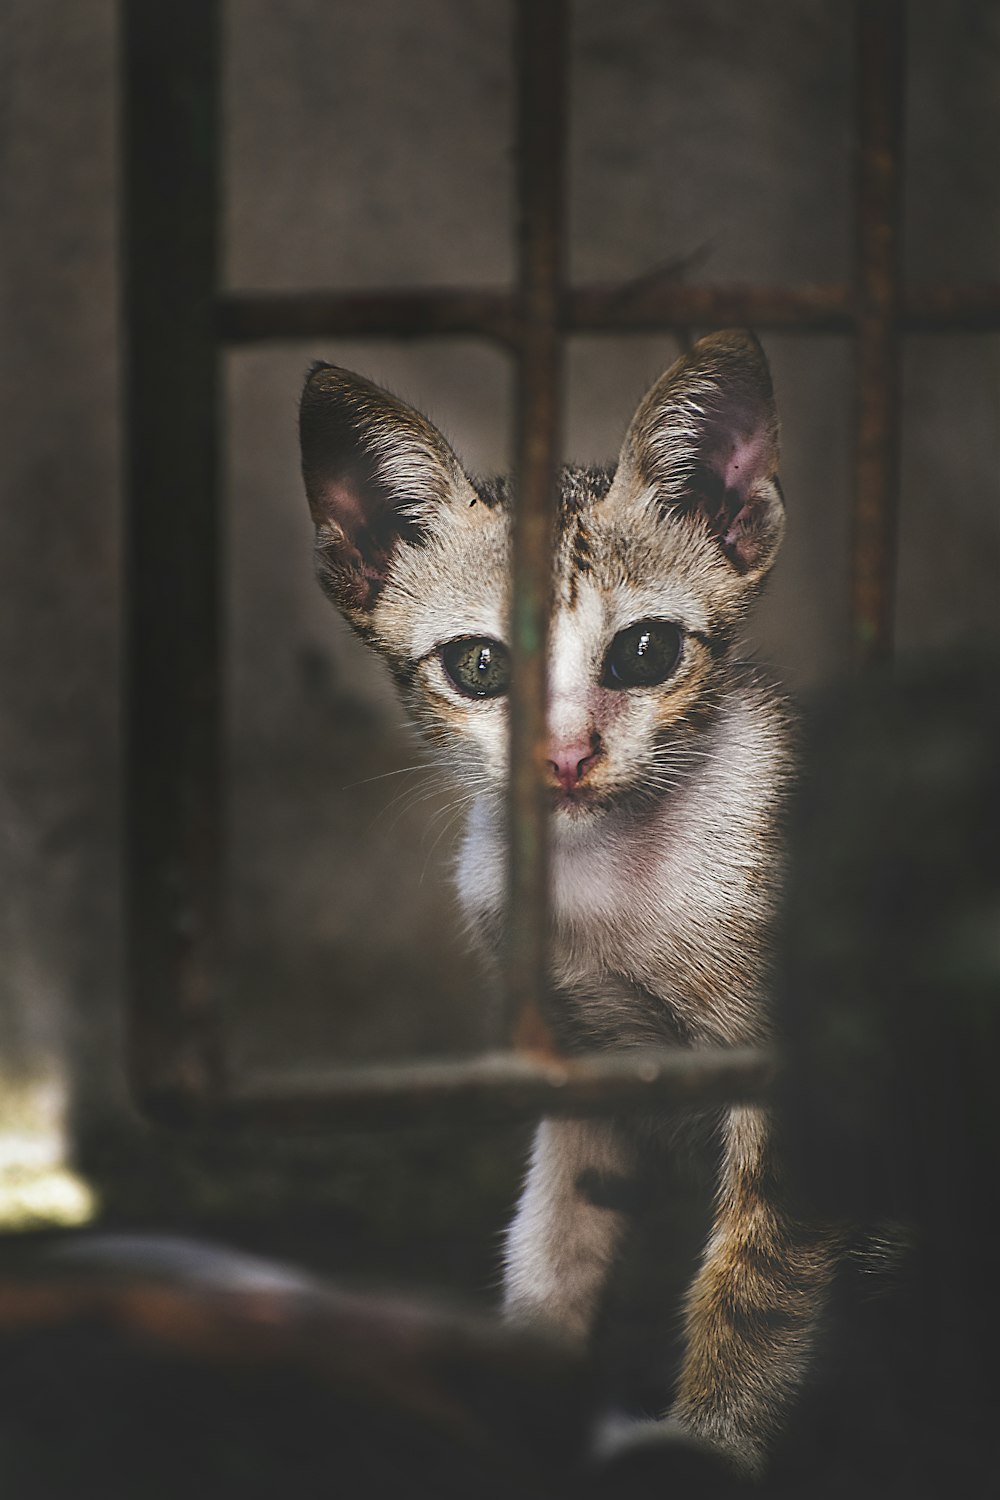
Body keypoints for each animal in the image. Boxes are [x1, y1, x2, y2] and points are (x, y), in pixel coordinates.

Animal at [296, 331, 839, 1476]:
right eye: (480, 665)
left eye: (643, 652)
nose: (566, 755)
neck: (609, 883)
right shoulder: (584, 1068)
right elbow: (552, 1248)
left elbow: (757, 1290)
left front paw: (711, 1446)